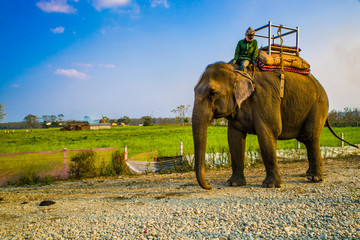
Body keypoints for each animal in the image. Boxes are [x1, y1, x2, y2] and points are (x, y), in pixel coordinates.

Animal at [193, 61, 356, 189]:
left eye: (212, 93)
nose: (209, 186)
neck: (238, 71)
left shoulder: (265, 98)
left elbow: (268, 132)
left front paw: (271, 185)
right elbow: (234, 138)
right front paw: (233, 184)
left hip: (318, 106)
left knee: (311, 137)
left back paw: (314, 179)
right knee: (306, 139)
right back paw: (309, 174)